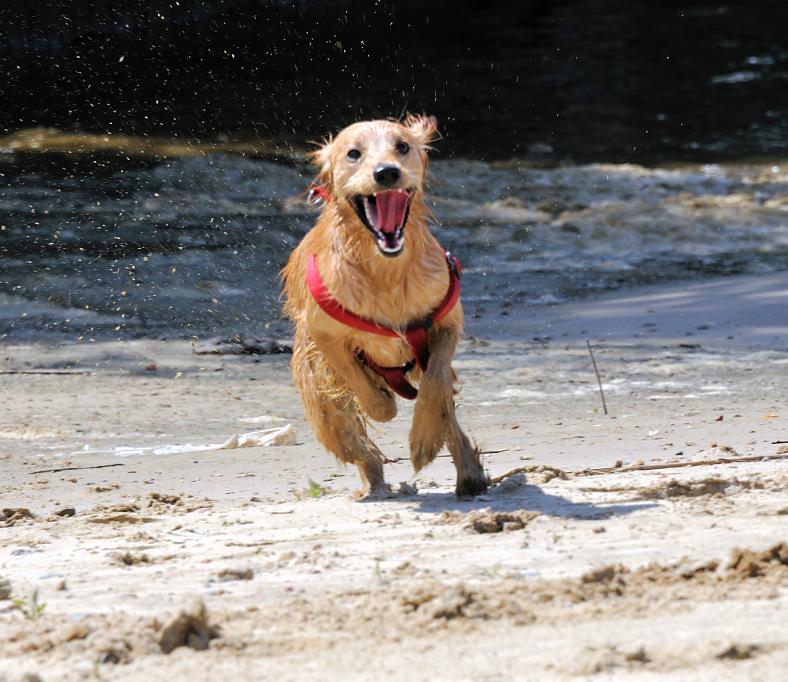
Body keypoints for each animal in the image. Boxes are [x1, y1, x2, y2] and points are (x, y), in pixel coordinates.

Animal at [278, 117, 486, 496]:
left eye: (402, 146)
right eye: (353, 153)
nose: (387, 172)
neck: (386, 272)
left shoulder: (447, 322)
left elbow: (434, 385)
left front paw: (423, 440)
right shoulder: (324, 334)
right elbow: (363, 387)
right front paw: (383, 403)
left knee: (446, 410)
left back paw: (469, 474)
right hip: (316, 386)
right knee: (349, 436)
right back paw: (372, 477)